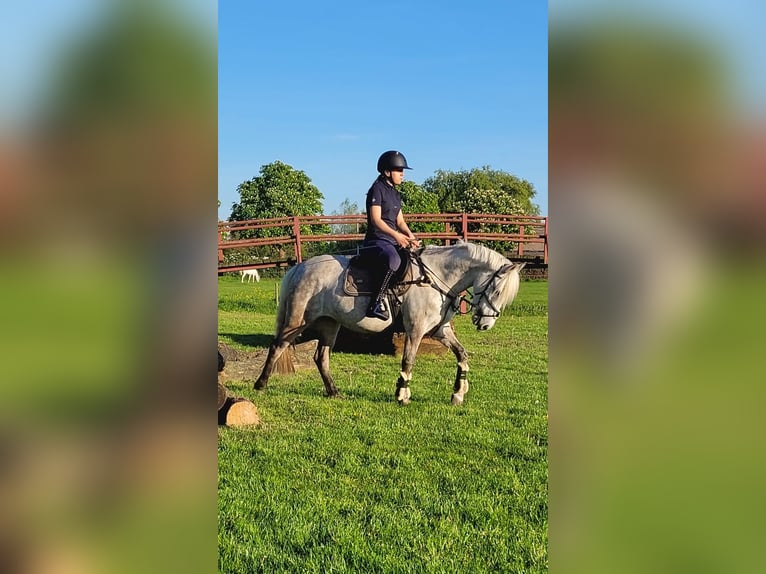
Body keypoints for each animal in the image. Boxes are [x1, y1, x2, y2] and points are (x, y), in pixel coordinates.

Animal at [254, 242, 525, 405]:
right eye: (497, 290)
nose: (485, 325)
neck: (437, 278)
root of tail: (300, 267)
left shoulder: (440, 330)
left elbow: (462, 355)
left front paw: (458, 393)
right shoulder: (415, 330)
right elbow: (408, 360)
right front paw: (402, 394)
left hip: (329, 323)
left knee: (321, 357)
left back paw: (334, 391)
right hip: (298, 320)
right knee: (277, 346)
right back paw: (261, 384)